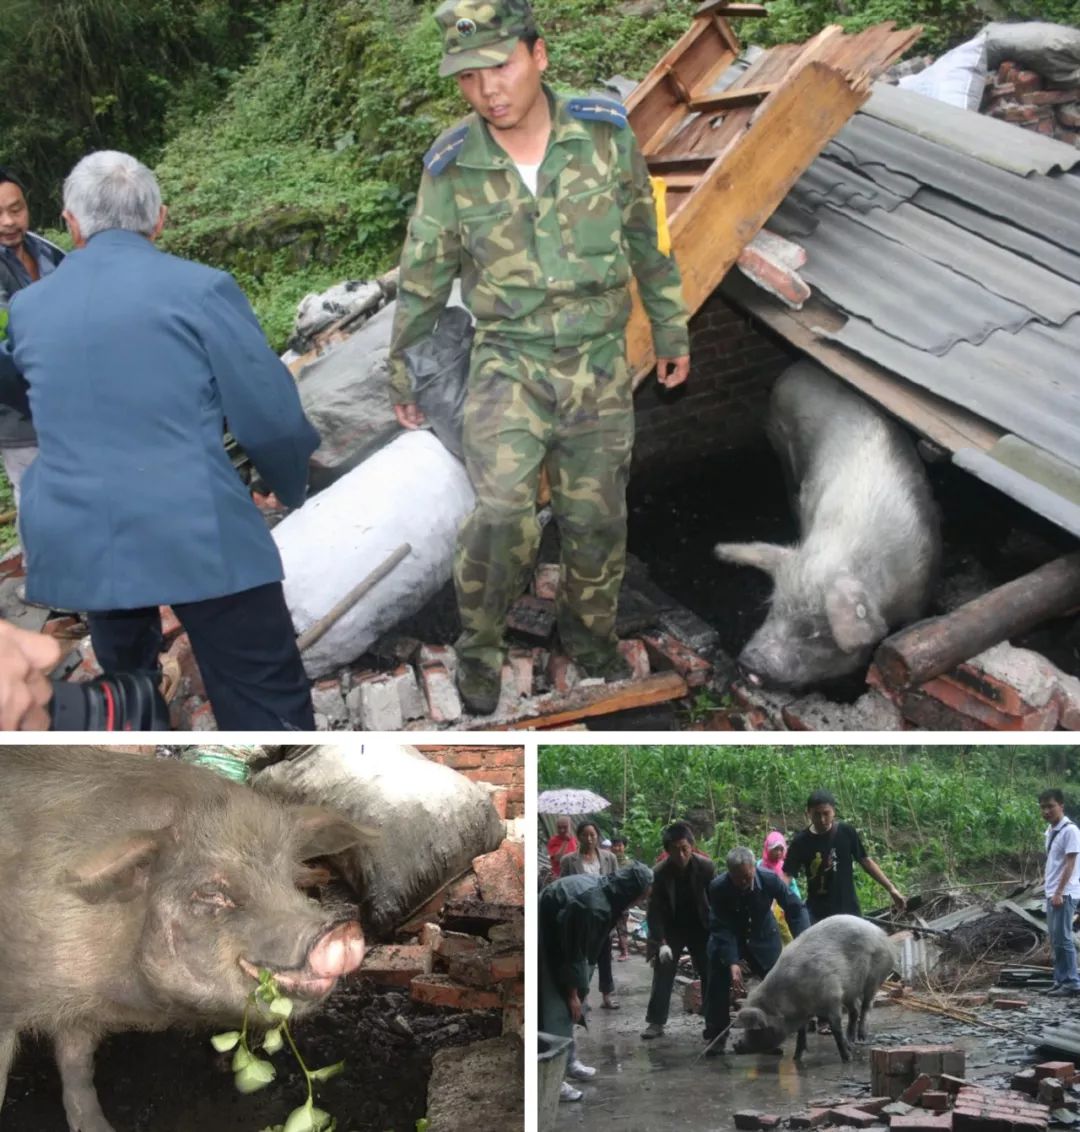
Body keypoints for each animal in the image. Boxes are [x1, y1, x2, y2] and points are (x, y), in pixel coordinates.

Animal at [0, 751, 371, 1132]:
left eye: (294, 881)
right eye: (211, 893)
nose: (342, 930)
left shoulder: (80, 1013)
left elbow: (77, 1064)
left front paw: (99, 1127)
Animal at [715, 366, 932, 692]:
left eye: (813, 631)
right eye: (774, 607)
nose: (748, 664)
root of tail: (796, 368)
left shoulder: (919, 589)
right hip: (780, 441)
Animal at [729, 910, 896, 1059]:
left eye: (755, 1030)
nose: (736, 1044)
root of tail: (883, 934)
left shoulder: (832, 997)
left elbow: (836, 1028)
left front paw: (847, 1058)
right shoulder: (806, 1011)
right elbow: (801, 1032)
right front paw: (796, 1058)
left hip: (874, 977)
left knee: (866, 1005)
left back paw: (861, 1037)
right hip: (850, 989)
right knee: (854, 1010)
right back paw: (851, 1040)